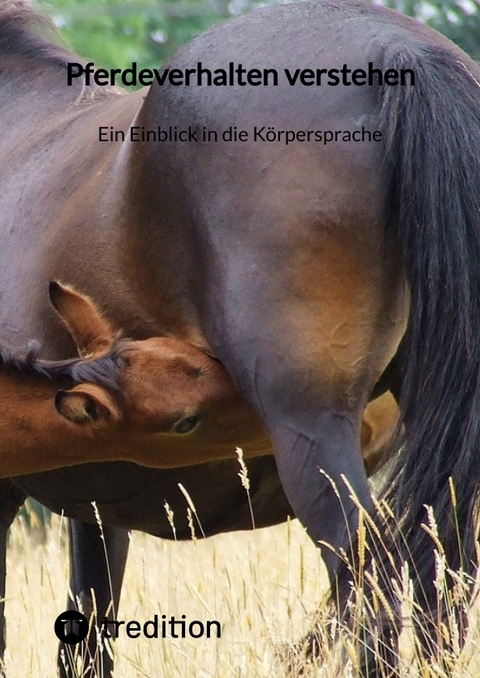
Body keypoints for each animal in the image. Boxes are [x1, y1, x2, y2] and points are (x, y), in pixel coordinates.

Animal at [0, 1, 480, 676]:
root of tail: (401, 52)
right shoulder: (94, 496)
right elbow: (90, 630)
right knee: (443, 583)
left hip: (313, 434)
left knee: (374, 585)